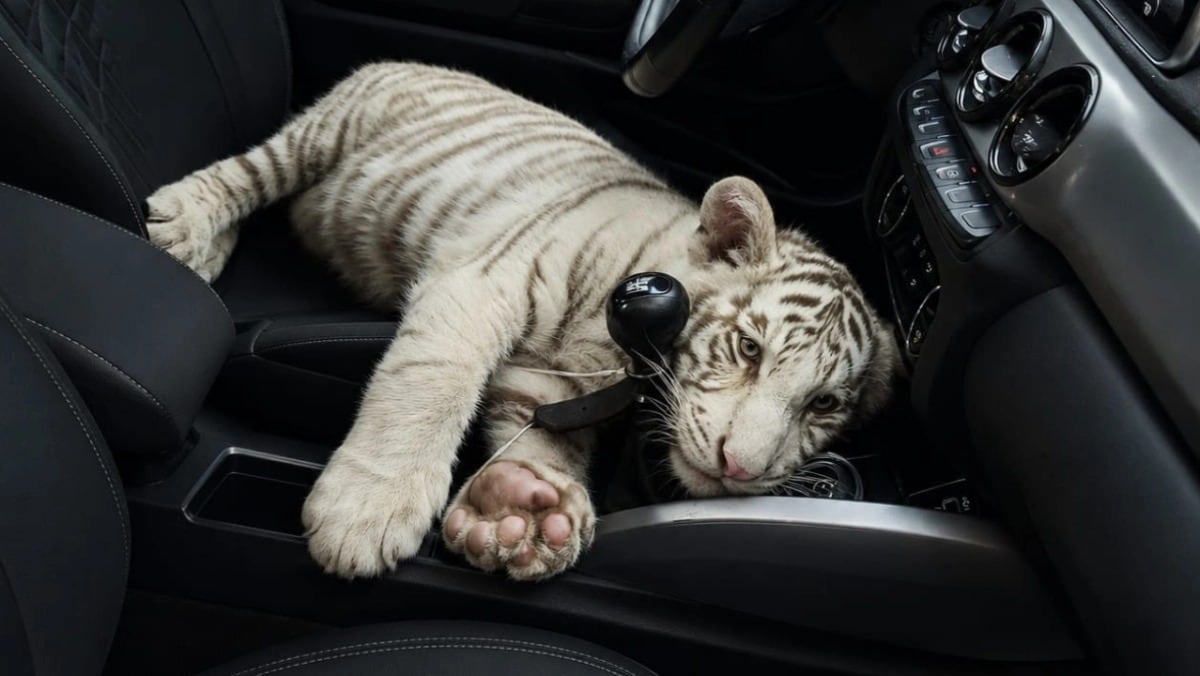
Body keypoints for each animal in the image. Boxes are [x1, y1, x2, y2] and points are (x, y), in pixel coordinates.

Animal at [145, 62, 901, 581]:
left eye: (823, 405)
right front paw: (366, 511)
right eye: (748, 348)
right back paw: (184, 226)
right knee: (250, 171)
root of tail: (418, 61)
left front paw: (523, 510)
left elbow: (542, 440)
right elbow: (429, 385)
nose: (739, 468)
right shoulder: (481, 282)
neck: (619, 350)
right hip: (326, 131)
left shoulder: (553, 381)